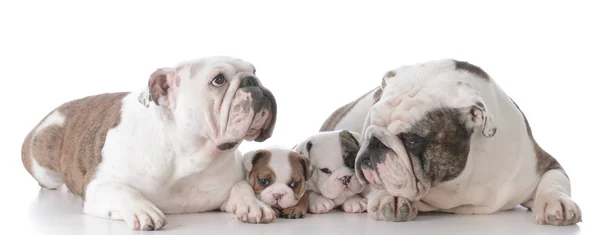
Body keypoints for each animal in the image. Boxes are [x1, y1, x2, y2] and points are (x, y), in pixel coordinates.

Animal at [20, 56, 278, 229]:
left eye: (255, 70)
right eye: (219, 80)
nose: (253, 81)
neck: (189, 154)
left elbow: (242, 186)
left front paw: (253, 205)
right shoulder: (98, 186)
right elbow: (122, 190)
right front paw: (142, 209)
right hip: (43, 162)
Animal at [324, 58, 580, 226]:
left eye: (413, 140)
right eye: (370, 125)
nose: (375, 144)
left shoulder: (542, 164)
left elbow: (553, 183)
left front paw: (557, 203)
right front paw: (392, 197)